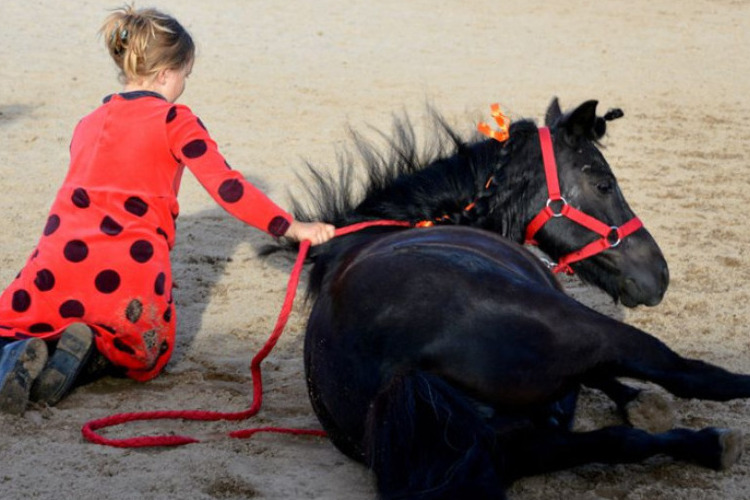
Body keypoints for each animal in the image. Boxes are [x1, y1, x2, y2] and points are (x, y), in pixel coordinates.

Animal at [293, 99, 750, 498]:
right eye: (603, 184)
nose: (660, 275)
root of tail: (403, 371)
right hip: (590, 332)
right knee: (692, 377)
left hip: (518, 447)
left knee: (616, 441)